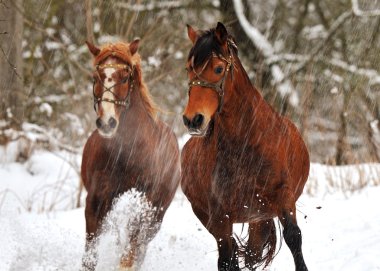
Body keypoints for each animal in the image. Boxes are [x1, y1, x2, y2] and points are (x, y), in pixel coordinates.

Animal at [80, 40, 181, 271]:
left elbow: (129, 255)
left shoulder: (145, 204)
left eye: (125, 78)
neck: (126, 153)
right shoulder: (97, 199)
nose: (106, 123)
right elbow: (90, 256)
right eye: (95, 77)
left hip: (157, 215)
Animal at [183, 22, 310, 270]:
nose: (193, 120)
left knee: (252, 251)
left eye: (218, 69)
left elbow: (294, 237)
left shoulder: (283, 196)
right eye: (189, 69)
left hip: (259, 217)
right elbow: (226, 257)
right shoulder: (219, 216)